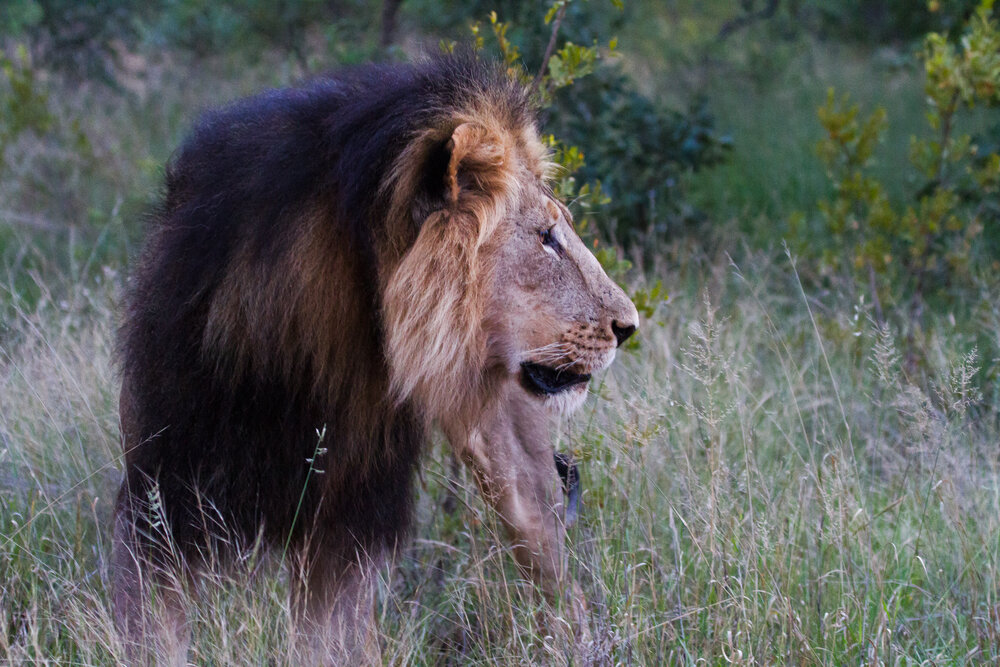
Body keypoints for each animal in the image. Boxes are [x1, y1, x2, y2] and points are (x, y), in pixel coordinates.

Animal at [111, 54, 640, 664]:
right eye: (547, 237)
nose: (629, 327)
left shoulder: (351, 519)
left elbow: (328, 637)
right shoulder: (166, 496)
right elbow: (153, 628)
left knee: (560, 575)